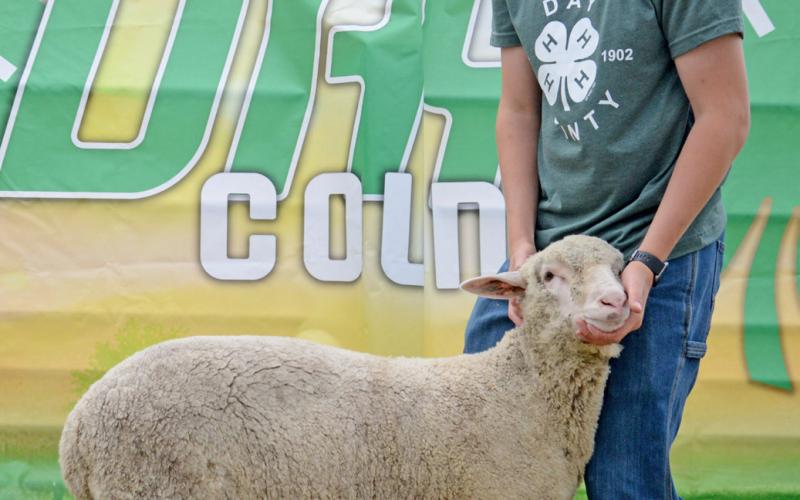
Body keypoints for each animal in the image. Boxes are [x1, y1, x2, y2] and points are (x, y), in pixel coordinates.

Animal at [59, 235, 630, 500]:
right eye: (549, 275)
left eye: (621, 267)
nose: (616, 302)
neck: (519, 393)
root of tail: (78, 428)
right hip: (153, 482)